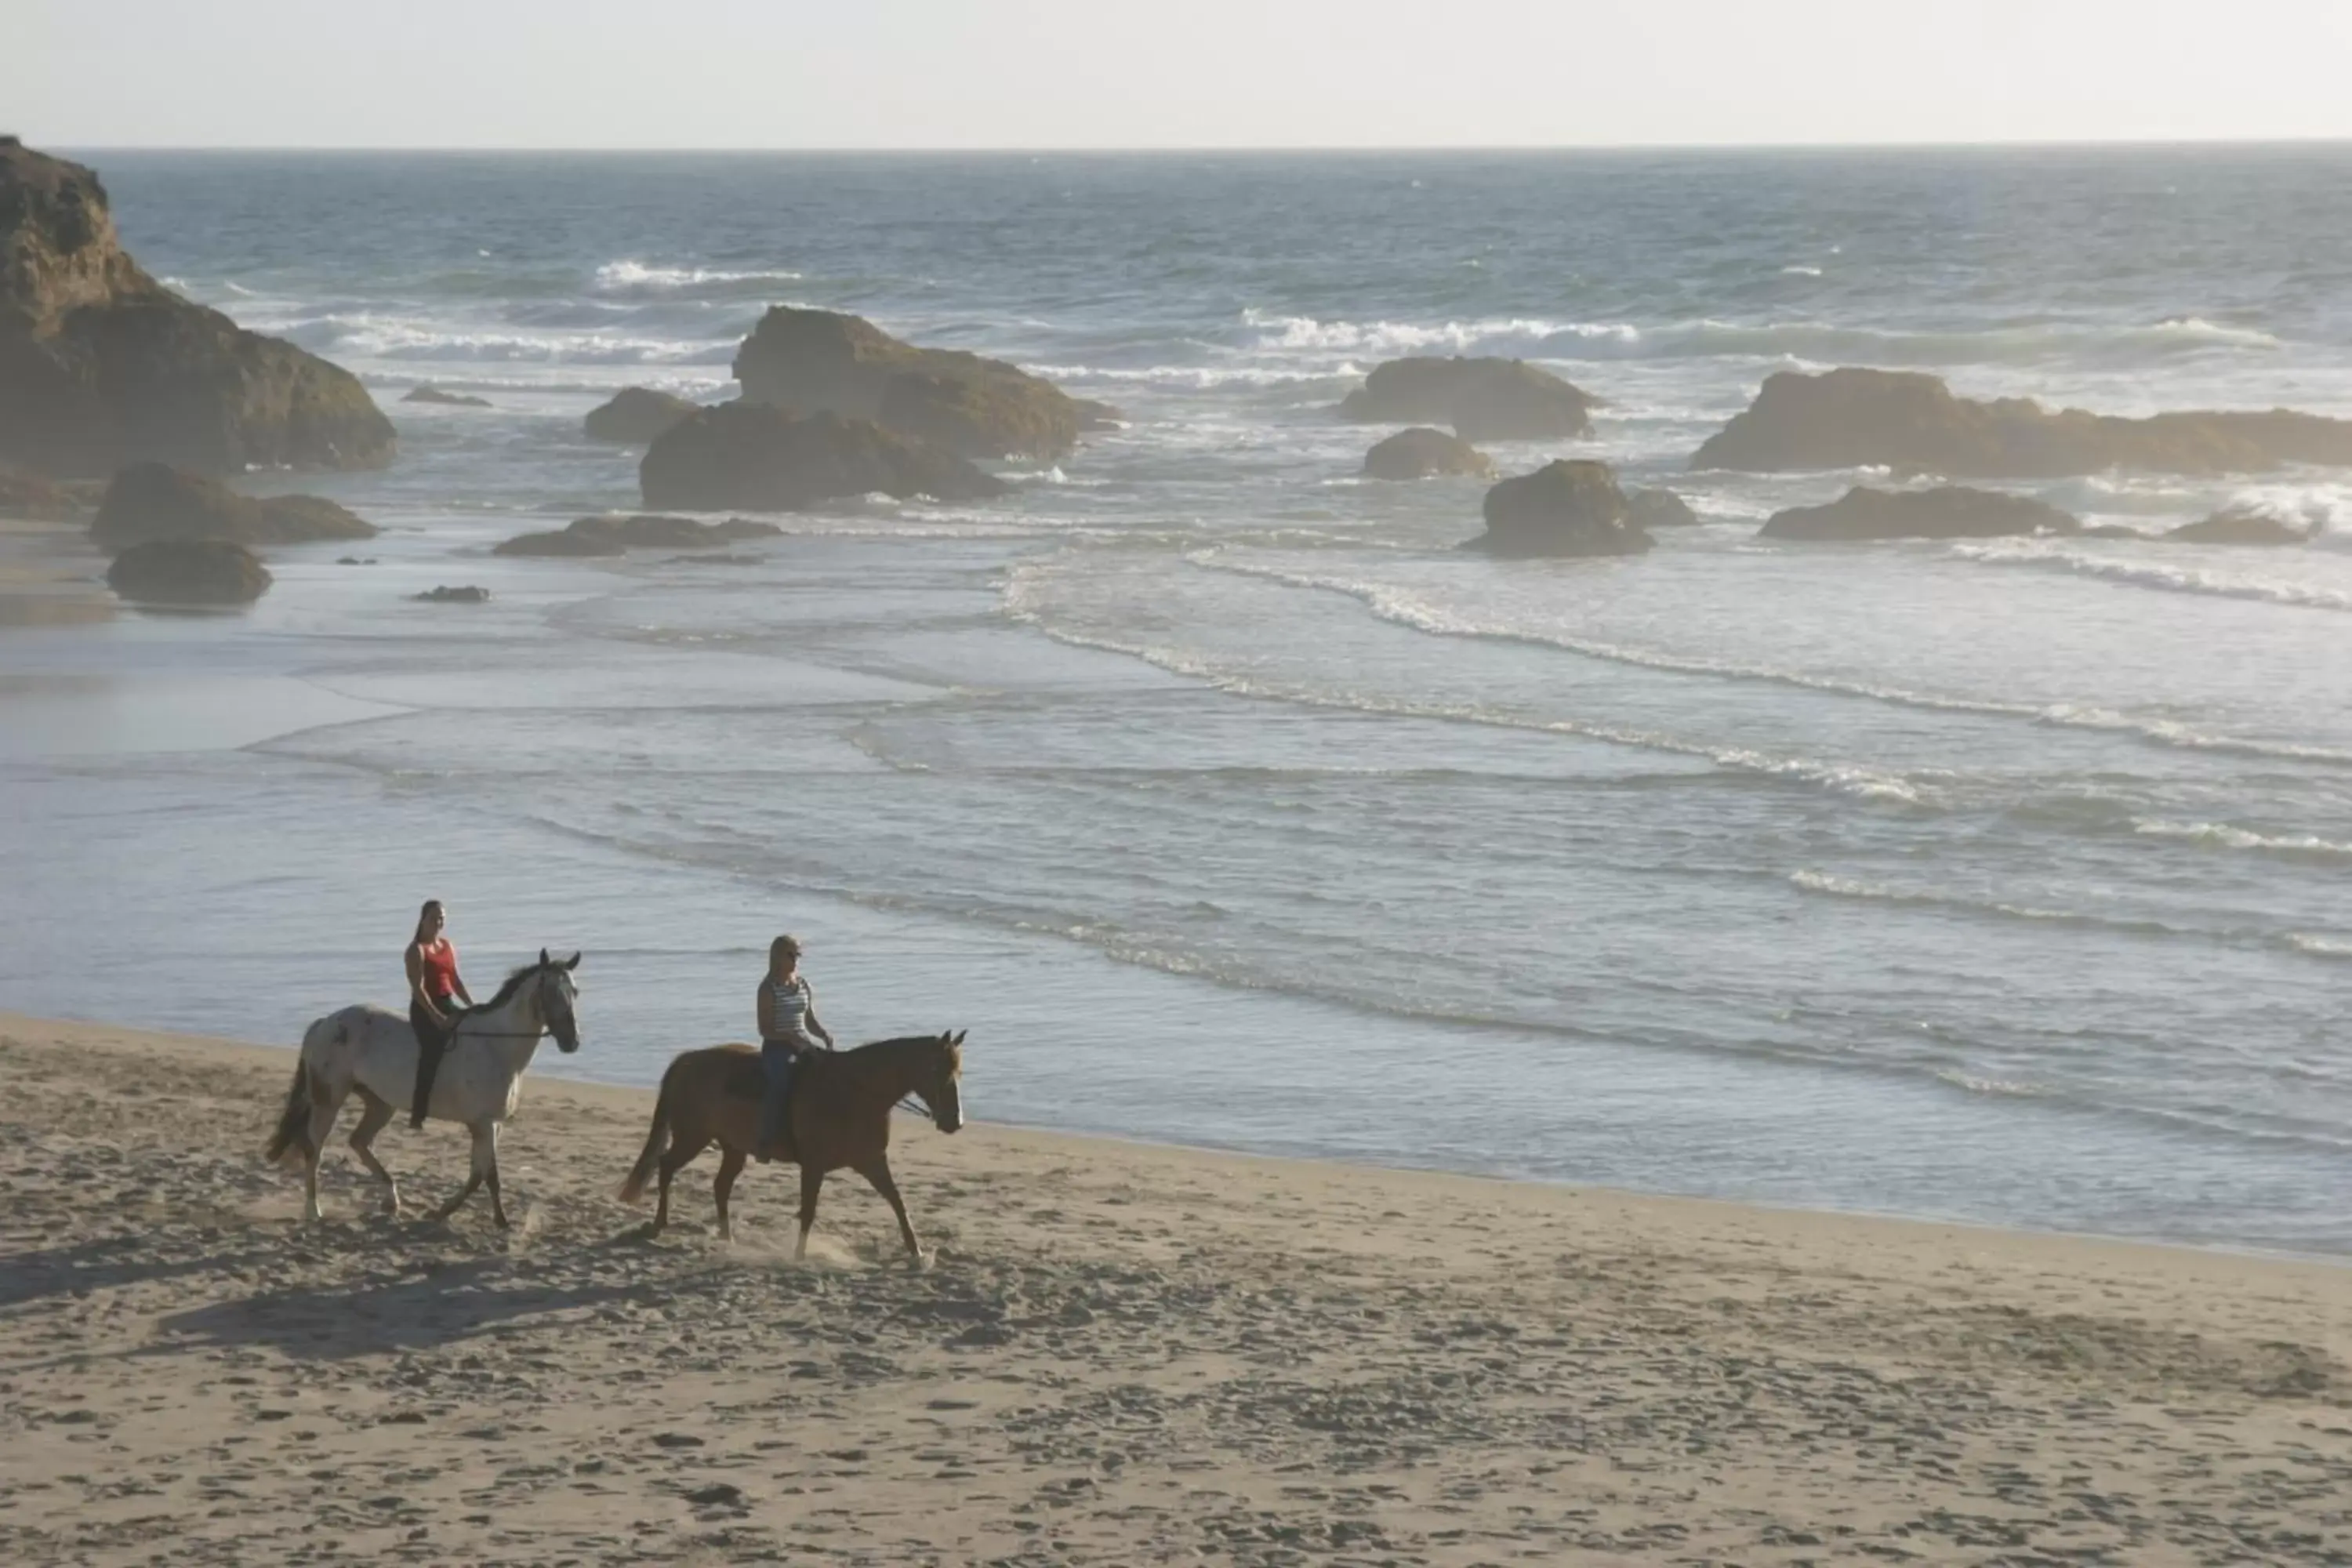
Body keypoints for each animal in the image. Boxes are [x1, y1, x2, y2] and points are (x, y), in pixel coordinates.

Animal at [269, 949, 583, 1232]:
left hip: (380, 1103)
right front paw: (500, 1221)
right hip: (329, 1100)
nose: (572, 1042)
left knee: (359, 1141)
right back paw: (314, 1210)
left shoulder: (490, 1125)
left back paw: (391, 1199)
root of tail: (325, 1022)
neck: (495, 1046)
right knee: (315, 1149)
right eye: (551, 992)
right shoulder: (484, 1123)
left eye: (575, 992)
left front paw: (443, 1211)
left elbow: (477, 1175)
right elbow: (490, 1176)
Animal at [621, 1029, 969, 1260]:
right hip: (693, 1137)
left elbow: (898, 1202)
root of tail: (686, 1061)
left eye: (958, 1072)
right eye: (937, 1069)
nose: (955, 1122)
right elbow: (809, 1209)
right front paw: (799, 1255)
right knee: (666, 1166)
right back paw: (658, 1225)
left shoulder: (872, 1161)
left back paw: (727, 1236)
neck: (854, 1093)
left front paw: (917, 1252)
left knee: (720, 1186)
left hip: (733, 1148)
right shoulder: (814, 1165)